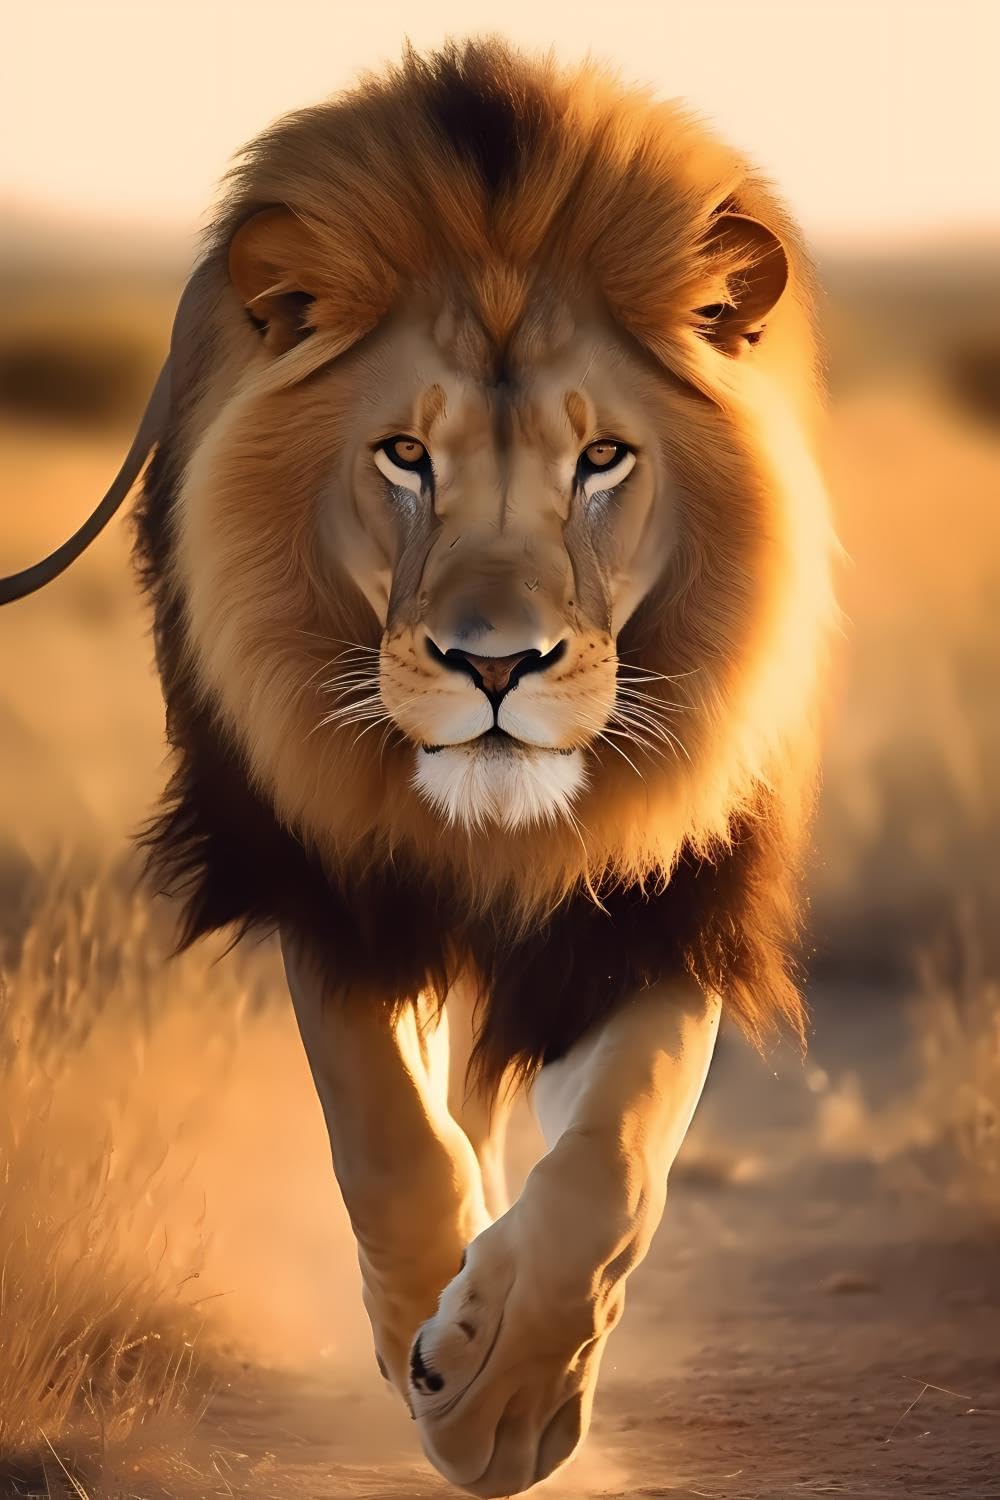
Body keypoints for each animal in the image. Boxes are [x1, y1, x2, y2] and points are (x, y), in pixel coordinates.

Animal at [123, 38, 834, 1497]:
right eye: (406, 455)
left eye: (602, 458)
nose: (493, 665)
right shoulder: (329, 881)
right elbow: (382, 1128)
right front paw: (428, 1345)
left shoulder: (667, 904)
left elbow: (612, 1162)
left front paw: (510, 1400)